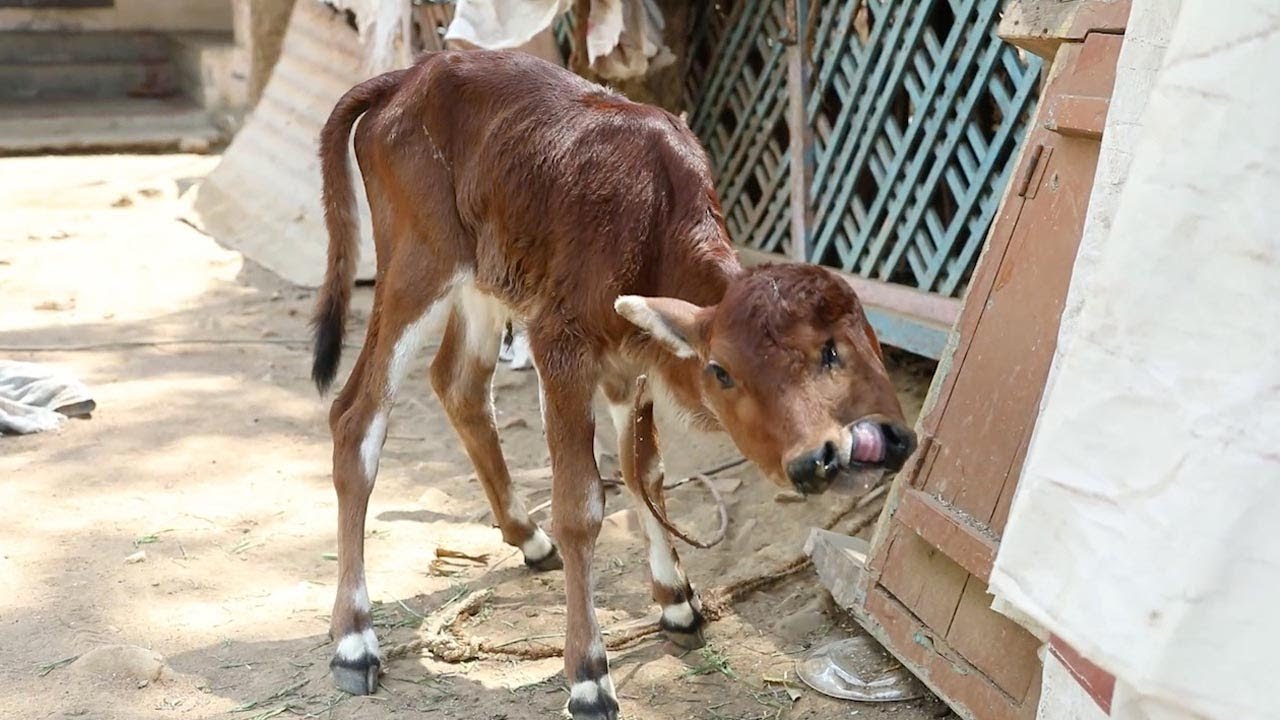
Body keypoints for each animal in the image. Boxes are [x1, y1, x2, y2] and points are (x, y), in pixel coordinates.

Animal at [308, 50, 911, 717]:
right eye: (722, 371)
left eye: (833, 351)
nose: (816, 459)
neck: (652, 223)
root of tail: (409, 75)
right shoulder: (561, 344)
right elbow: (583, 506)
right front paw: (589, 675)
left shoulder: (631, 362)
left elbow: (644, 472)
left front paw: (677, 602)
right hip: (419, 265)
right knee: (356, 416)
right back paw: (355, 640)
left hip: (485, 278)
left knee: (459, 384)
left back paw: (529, 538)